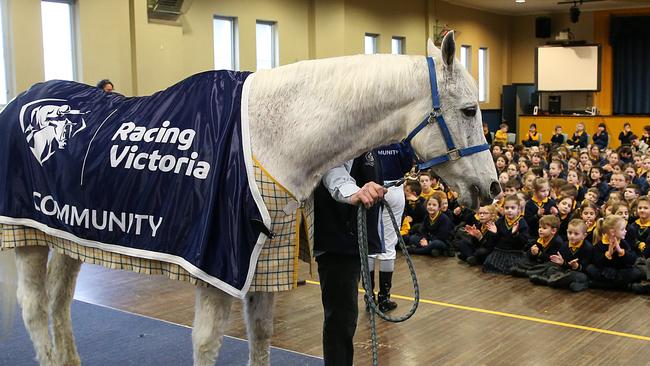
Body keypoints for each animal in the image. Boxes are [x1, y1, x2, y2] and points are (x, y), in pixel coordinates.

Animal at [1, 32, 496, 366]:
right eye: (469, 110)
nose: (491, 188)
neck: (268, 137)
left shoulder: (261, 269)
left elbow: (260, 338)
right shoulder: (217, 269)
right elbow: (206, 344)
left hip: (71, 237)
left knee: (60, 302)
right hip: (26, 234)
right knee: (35, 306)